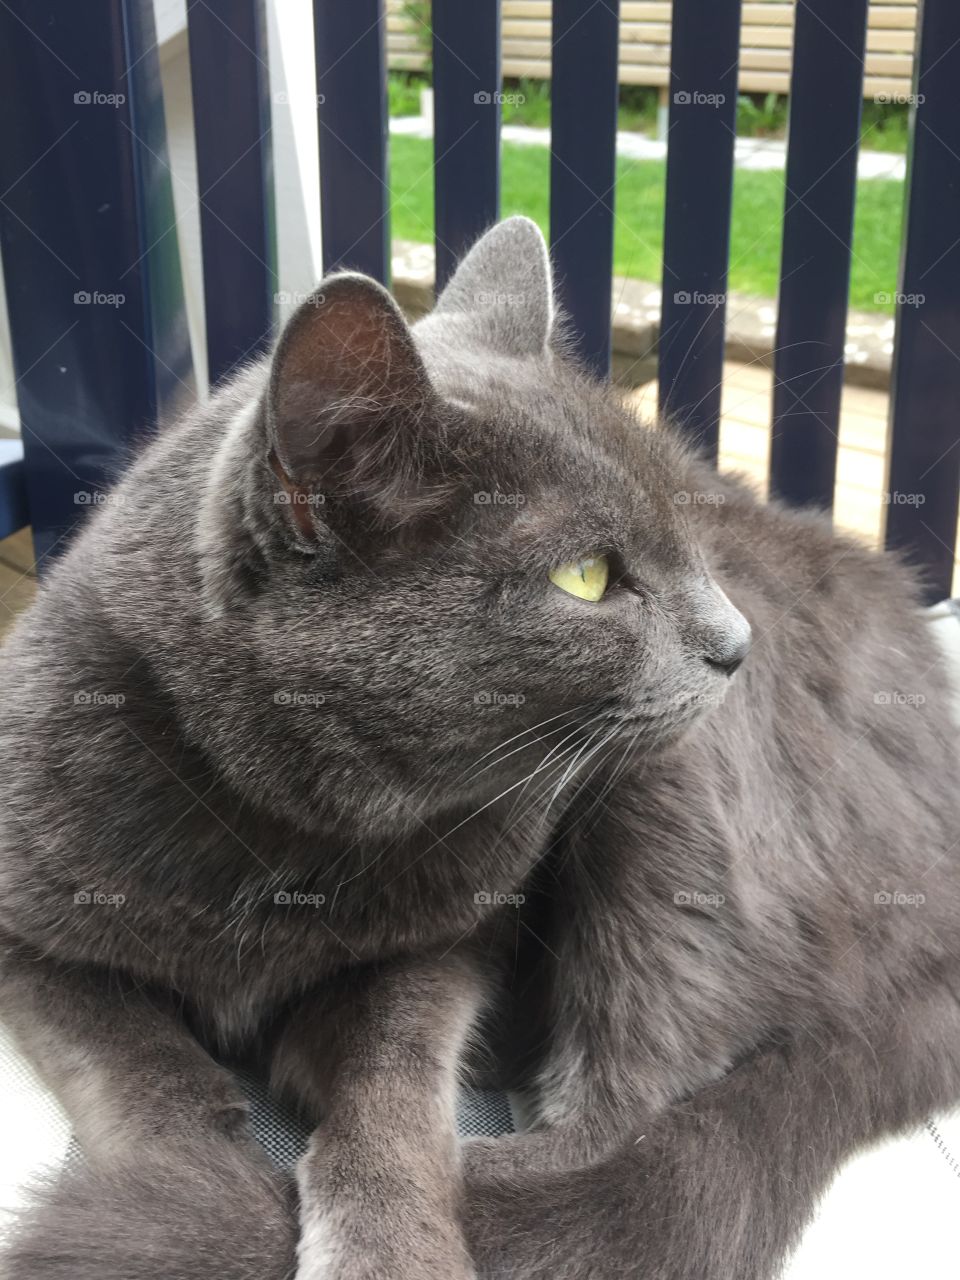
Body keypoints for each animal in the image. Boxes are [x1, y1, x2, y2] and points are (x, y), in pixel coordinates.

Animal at [1, 215, 960, 1274]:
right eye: (587, 575)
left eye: (693, 536)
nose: (737, 641)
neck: (289, 834)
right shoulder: (26, 931)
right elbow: (133, 1064)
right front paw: (182, 1171)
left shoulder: (452, 938)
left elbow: (393, 1078)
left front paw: (388, 1239)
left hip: (659, 790)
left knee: (626, 1109)